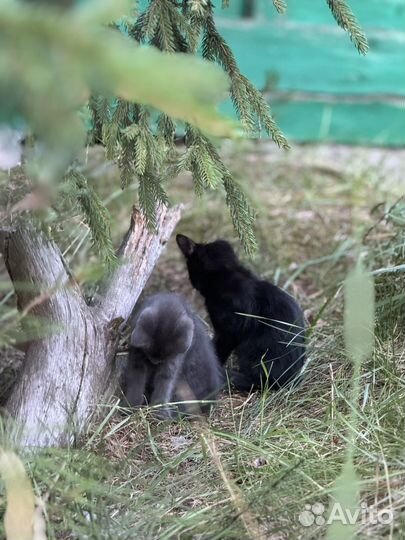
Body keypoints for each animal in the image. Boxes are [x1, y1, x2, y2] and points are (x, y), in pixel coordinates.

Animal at [175, 234, 304, 390]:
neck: (227, 275)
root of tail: (290, 380)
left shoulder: (227, 332)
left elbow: (218, 349)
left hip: (250, 348)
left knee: (258, 380)